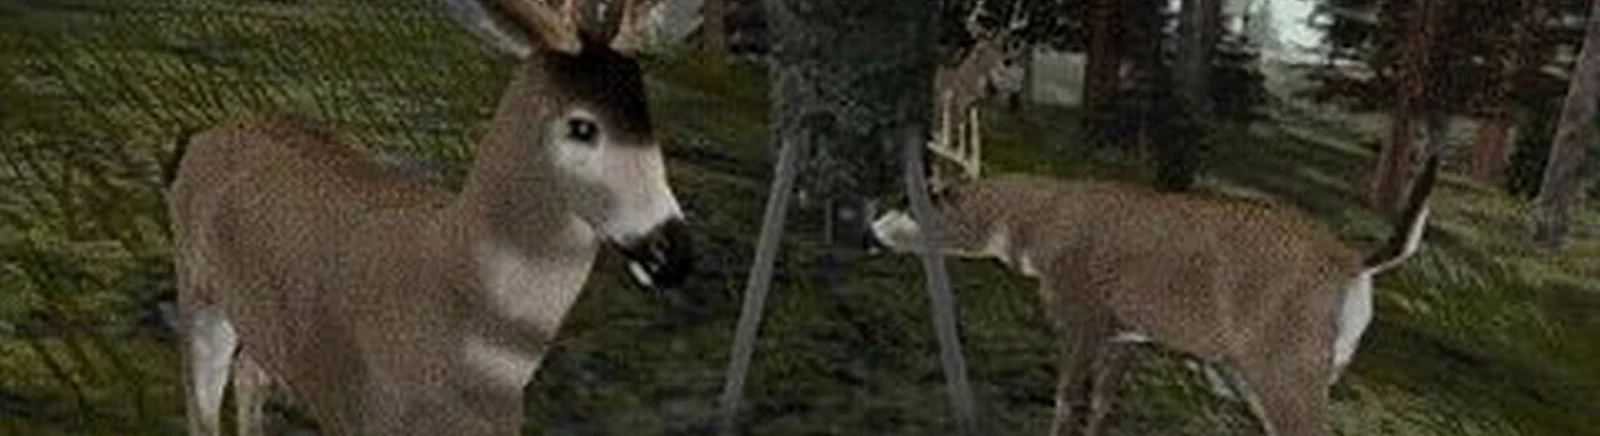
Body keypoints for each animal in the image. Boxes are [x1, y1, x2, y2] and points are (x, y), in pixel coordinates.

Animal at [165, 0, 691, 435]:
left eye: (646, 121)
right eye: (582, 126)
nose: (672, 251)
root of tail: (205, 136)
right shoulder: (358, 408)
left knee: (249, 373)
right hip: (199, 287)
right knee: (201, 407)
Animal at [868, 154, 1441, 436]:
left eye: (912, 200)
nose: (870, 223)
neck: (1040, 224)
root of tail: (1356, 265)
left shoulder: (1082, 319)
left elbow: (1066, 401)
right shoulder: (1127, 334)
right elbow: (1101, 405)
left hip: (1287, 371)